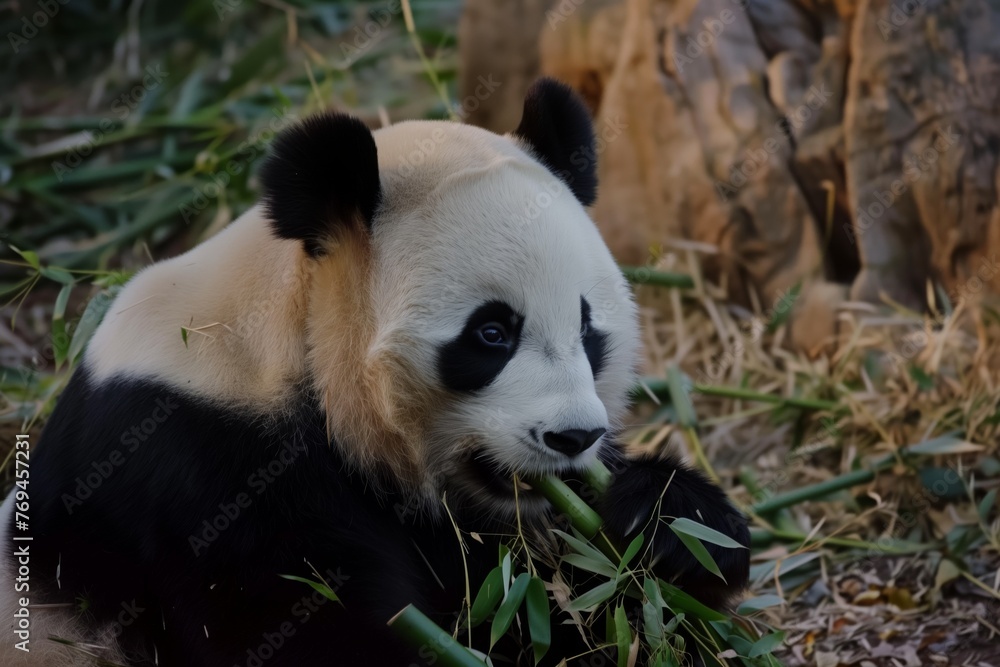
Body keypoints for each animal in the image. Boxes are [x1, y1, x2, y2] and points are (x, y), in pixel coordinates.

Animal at [0, 79, 749, 666]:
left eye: (589, 328)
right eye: (492, 333)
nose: (573, 438)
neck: (290, 335)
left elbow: (563, 599)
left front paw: (670, 521)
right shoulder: (201, 475)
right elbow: (312, 633)